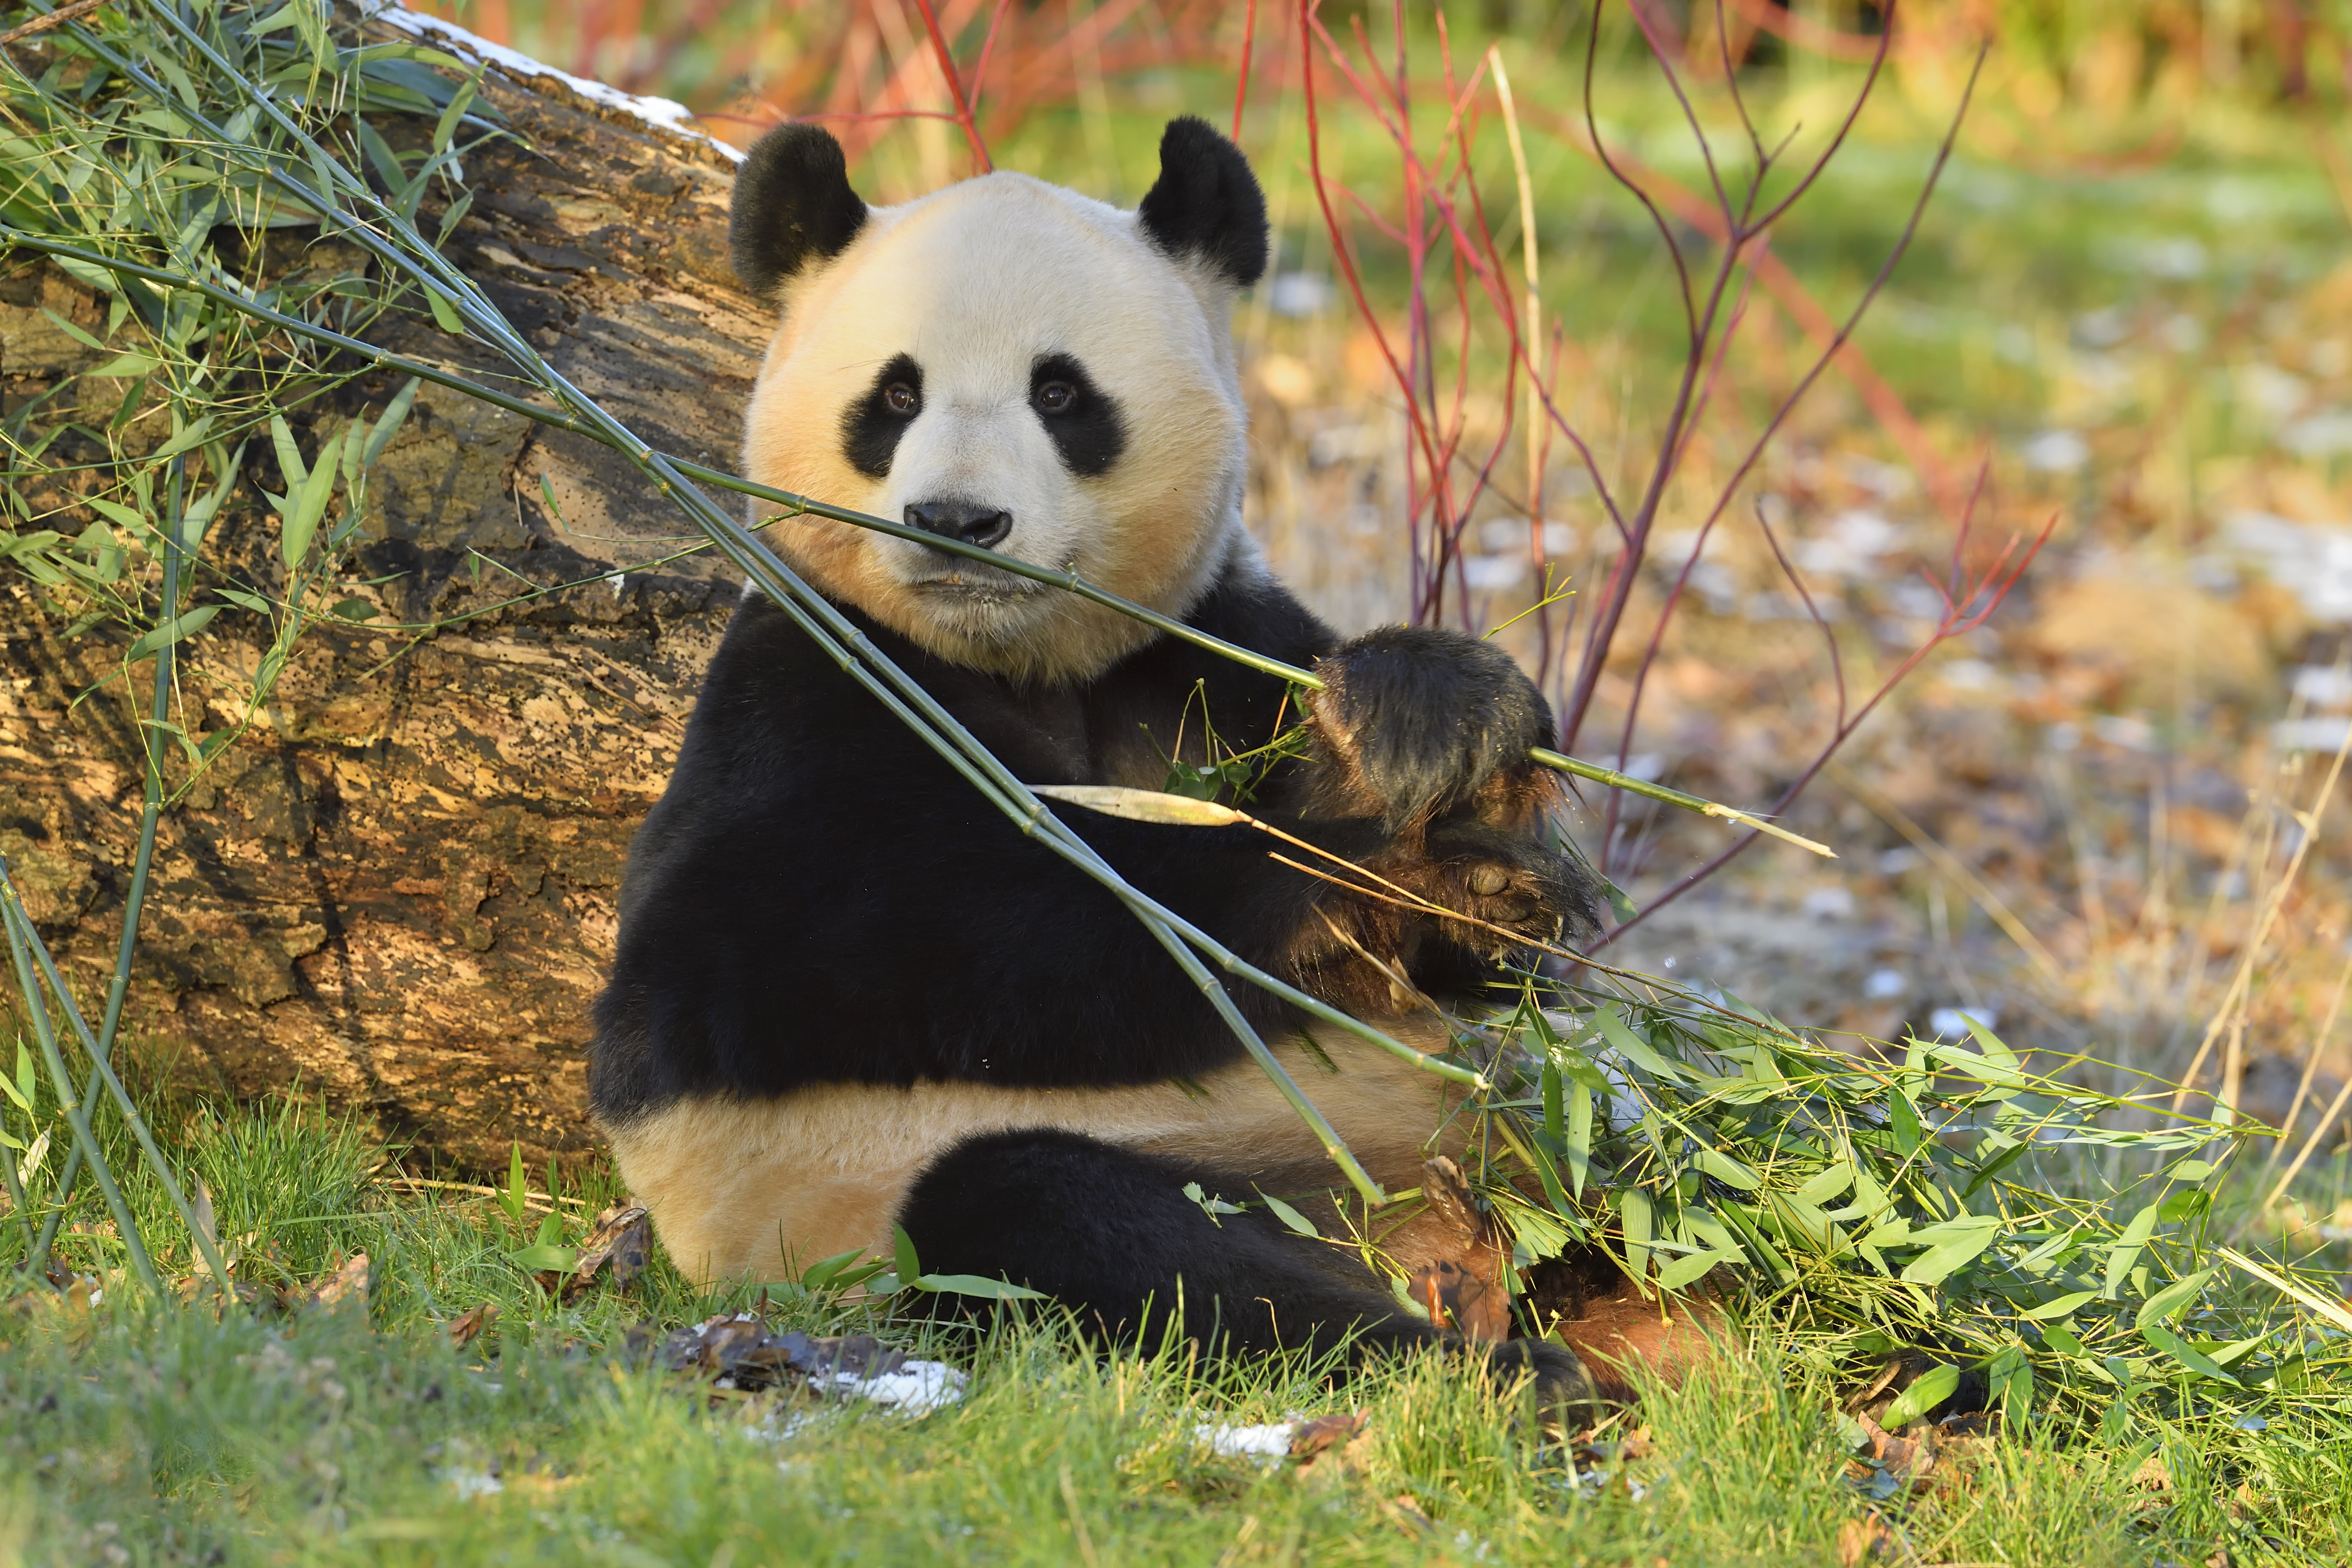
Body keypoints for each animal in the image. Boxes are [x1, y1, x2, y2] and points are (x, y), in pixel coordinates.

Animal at [588, 113, 1665, 1410]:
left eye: (1060, 393)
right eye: (894, 396)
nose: (956, 524)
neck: (1027, 663)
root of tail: (1447, 1242)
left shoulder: (1213, 651)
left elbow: (1488, 946)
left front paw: (1440, 745)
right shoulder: (801, 689)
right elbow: (827, 950)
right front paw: (1375, 872)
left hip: (1554, 1142)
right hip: (903, 1209)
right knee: (1089, 1232)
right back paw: (1497, 1372)